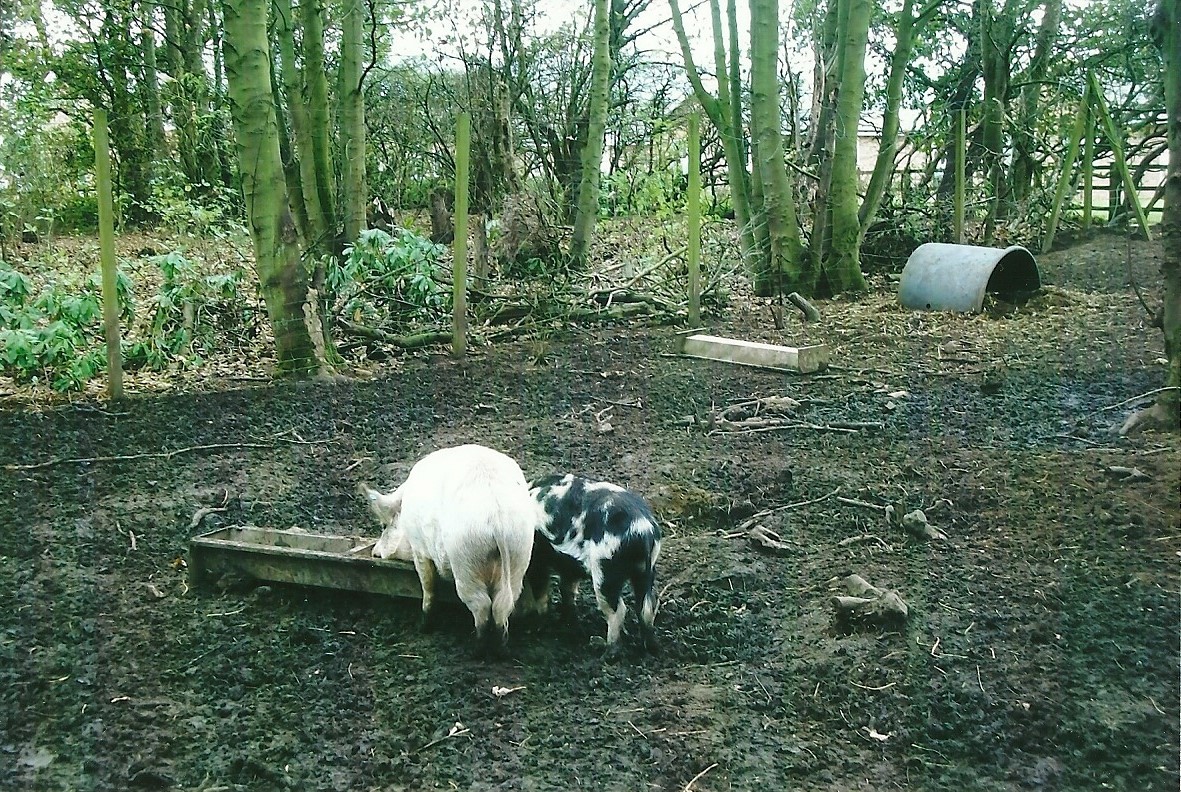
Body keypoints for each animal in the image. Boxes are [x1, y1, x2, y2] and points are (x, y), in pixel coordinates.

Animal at [360, 444, 541, 659]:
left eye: (383, 525)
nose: (374, 553)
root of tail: (497, 516)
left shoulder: (419, 549)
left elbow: (428, 586)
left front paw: (423, 627)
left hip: (465, 556)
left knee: (481, 603)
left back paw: (475, 652)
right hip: (519, 551)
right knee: (504, 603)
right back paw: (502, 651)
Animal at [523, 474, 662, 660]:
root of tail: (642, 529)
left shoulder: (537, 556)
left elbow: (541, 592)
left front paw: (536, 626)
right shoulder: (569, 565)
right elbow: (567, 589)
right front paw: (566, 621)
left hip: (605, 568)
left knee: (618, 610)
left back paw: (607, 653)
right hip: (647, 569)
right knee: (647, 606)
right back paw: (652, 648)